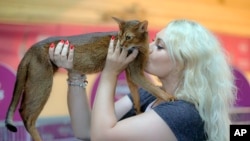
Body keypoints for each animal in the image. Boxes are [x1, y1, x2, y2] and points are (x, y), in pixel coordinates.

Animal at [4, 16, 175, 141]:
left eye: (128, 37)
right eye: (119, 36)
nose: (120, 45)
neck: (141, 47)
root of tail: (32, 48)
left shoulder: (129, 74)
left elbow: (136, 94)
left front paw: (138, 110)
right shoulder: (135, 72)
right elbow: (152, 88)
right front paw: (168, 96)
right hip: (43, 82)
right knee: (26, 114)